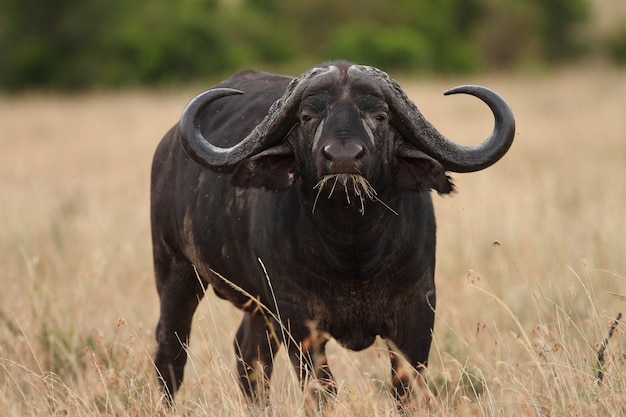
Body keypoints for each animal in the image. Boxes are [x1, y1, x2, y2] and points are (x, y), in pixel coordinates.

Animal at [150, 61, 512, 406]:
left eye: (380, 115)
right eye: (308, 115)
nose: (343, 158)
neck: (353, 251)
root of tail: (168, 148)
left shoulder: (418, 310)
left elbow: (406, 389)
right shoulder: (296, 318)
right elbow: (321, 390)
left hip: (257, 305)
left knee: (249, 357)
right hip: (175, 271)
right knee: (171, 350)